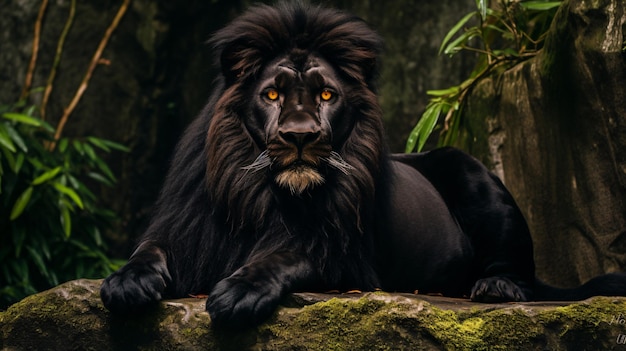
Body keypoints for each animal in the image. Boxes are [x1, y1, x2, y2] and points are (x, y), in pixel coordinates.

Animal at [101, 1, 624, 328]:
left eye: (326, 95)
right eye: (272, 95)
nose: (299, 137)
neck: (265, 194)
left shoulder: (347, 259)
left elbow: (289, 255)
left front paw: (241, 291)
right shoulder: (187, 230)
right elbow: (148, 250)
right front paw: (125, 283)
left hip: (471, 172)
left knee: (522, 273)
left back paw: (495, 286)